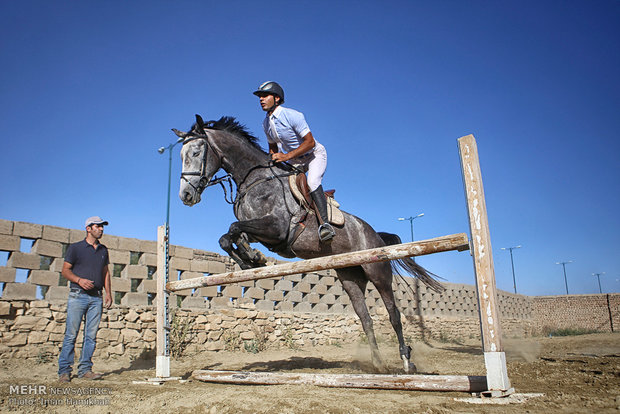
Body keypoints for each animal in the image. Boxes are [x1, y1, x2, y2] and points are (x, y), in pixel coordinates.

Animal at [176, 114, 446, 372]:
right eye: (181, 155)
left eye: (197, 153)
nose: (185, 196)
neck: (254, 179)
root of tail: (375, 234)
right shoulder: (261, 231)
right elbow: (228, 237)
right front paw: (251, 260)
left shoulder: (277, 228)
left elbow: (233, 229)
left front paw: (251, 259)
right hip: (350, 277)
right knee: (365, 317)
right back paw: (378, 364)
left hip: (378, 273)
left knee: (393, 314)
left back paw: (406, 361)